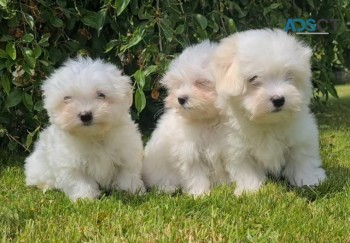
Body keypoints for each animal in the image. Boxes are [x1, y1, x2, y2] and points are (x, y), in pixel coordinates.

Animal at [24, 57, 144, 201]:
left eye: (101, 95)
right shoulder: (71, 164)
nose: (85, 115)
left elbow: (127, 174)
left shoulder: (127, 154)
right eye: (67, 98)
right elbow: (80, 181)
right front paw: (85, 198)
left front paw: (131, 191)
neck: (94, 136)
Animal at [142, 40, 230, 196]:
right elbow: (196, 175)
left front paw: (224, 186)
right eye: (178, 85)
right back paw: (168, 188)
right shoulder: (190, 153)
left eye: (201, 83)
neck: (206, 121)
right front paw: (200, 194)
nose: (181, 99)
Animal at [211, 29, 328, 196]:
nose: (278, 99)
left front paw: (308, 180)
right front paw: (249, 189)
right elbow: (245, 168)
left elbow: (302, 158)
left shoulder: (301, 137)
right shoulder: (236, 147)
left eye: (289, 76)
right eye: (253, 78)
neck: (268, 123)